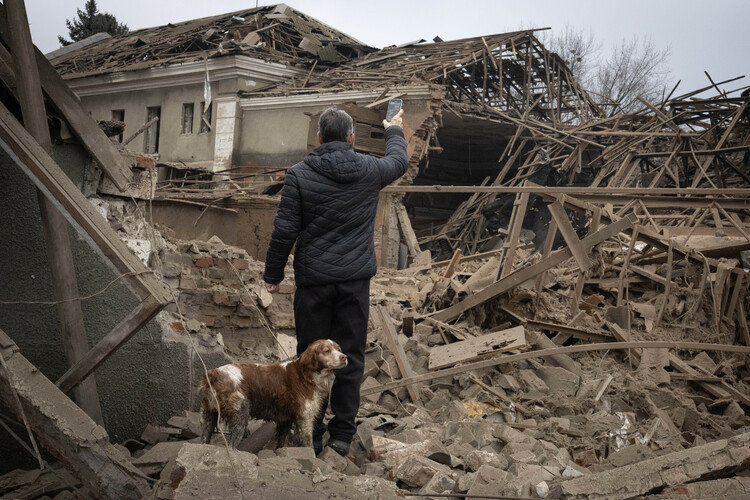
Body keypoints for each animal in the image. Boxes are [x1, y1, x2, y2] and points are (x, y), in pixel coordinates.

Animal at [198, 340, 348, 450]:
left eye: (339, 349)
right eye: (327, 350)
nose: (344, 357)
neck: (306, 374)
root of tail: (213, 374)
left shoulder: (285, 419)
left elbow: (281, 443)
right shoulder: (304, 418)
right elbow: (308, 444)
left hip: (208, 416)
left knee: (204, 439)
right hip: (240, 415)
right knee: (231, 446)